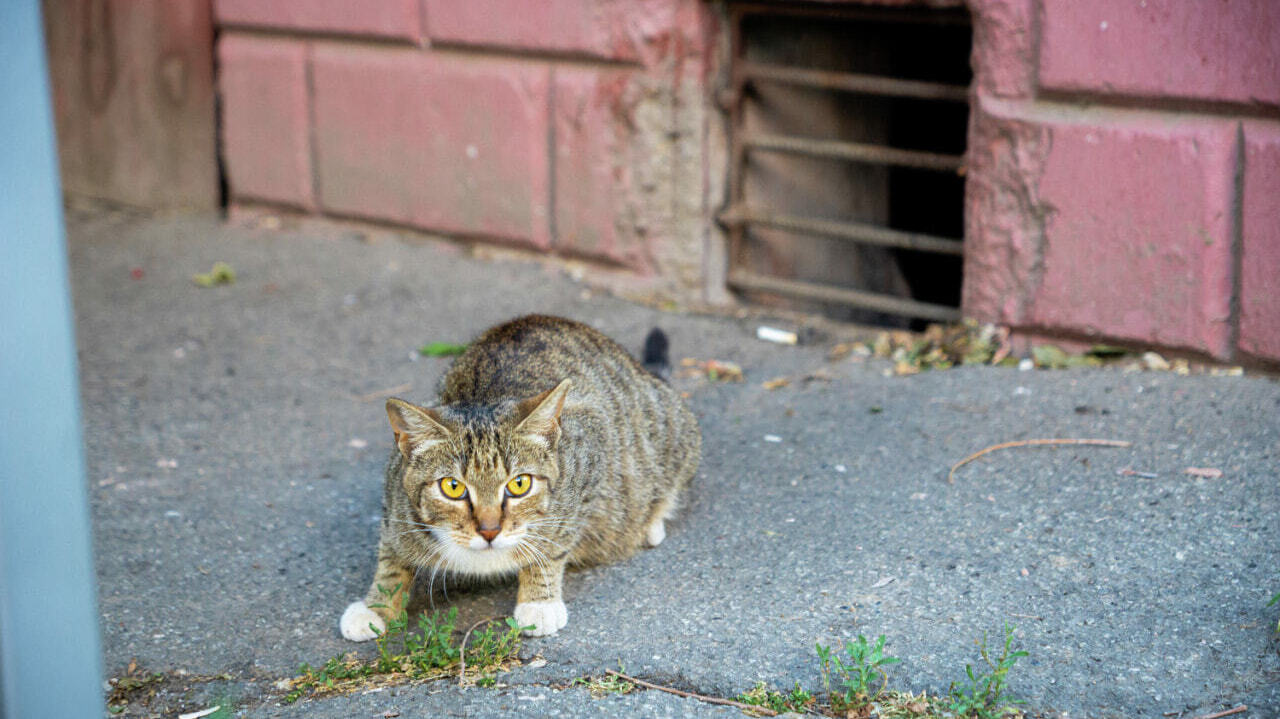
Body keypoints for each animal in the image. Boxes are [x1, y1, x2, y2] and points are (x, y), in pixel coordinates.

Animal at [340, 313, 701, 637]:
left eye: (519, 484)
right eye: (453, 487)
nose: (489, 530)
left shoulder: (589, 458)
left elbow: (553, 542)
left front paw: (539, 600)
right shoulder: (393, 500)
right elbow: (391, 554)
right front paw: (377, 606)